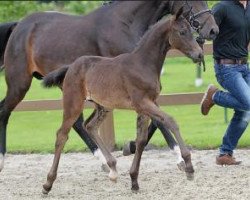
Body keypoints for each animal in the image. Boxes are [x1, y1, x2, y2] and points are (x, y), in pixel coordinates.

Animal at [0, 0, 219, 172]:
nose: (213, 30)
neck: (126, 23)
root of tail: (18, 26)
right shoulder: (135, 91)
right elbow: (159, 121)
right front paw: (180, 158)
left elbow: (155, 120)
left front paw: (132, 146)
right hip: (20, 84)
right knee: (5, 111)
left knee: (77, 123)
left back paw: (103, 162)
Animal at [42, 7, 203, 192]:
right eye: (182, 32)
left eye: (192, 30)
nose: (199, 54)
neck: (142, 64)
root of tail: (71, 66)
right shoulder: (143, 102)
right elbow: (170, 121)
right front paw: (189, 167)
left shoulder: (146, 106)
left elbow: (141, 140)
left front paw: (134, 180)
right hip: (73, 103)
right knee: (62, 134)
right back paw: (48, 183)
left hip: (103, 106)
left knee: (90, 126)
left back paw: (112, 169)